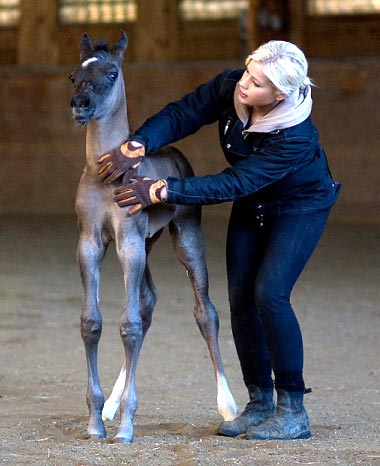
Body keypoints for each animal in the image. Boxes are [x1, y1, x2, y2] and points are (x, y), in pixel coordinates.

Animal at [68, 33, 235, 444]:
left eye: (112, 73)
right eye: (73, 76)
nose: (81, 105)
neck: (105, 176)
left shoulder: (127, 243)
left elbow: (127, 325)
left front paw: (125, 429)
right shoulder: (90, 243)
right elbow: (92, 323)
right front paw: (96, 422)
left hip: (184, 237)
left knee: (205, 312)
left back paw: (227, 404)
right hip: (148, 243)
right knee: (147, 303)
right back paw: (112, 405)